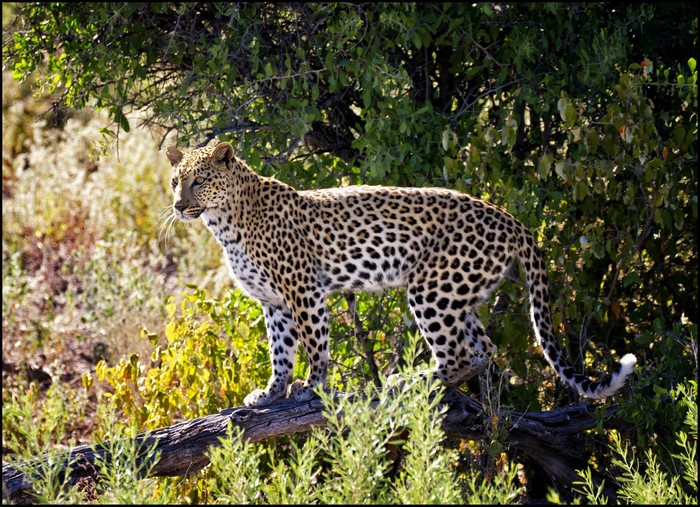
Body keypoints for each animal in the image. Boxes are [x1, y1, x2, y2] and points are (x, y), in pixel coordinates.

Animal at [166, 141, 637, 407]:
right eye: (175, 180)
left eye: (200, 180)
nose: (178, 205)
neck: (224, 223)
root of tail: (509, 218)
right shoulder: (274, 301)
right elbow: (279, 351)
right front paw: (271, 392)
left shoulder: (304, 290)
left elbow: (315, 345)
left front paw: (311, 386)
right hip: (460, 294)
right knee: (483, 351)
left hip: (431, 290)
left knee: (457, 356)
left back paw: (408, 379)